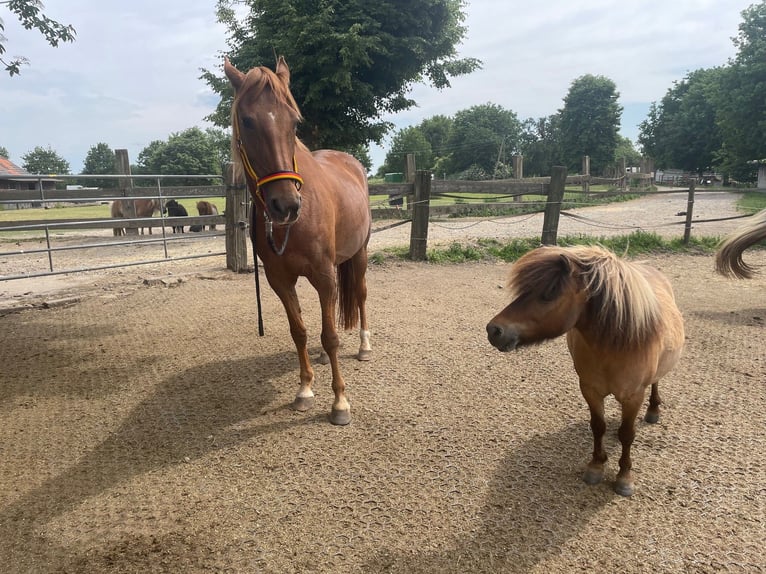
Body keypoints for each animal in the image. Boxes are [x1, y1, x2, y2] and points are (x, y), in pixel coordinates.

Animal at [224, 56, 372, 425]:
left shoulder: (323, 274)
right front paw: (305, 389)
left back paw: (364, 346)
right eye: (246, 121)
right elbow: (300, 331)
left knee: (361, 296)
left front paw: (340, 402)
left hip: (359, 255)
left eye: (294, 121)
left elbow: (330, 336)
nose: (286, 205)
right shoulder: (280, 280)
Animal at [486, 245, 685, 496]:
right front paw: (596, 466)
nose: (494, 330)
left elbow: (627, 434)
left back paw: (653, 410)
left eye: (550, 292)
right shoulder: (590, 390)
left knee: (656, 383)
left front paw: (624, 477)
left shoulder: (633, 396)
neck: (613, 347)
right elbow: (598, 427)